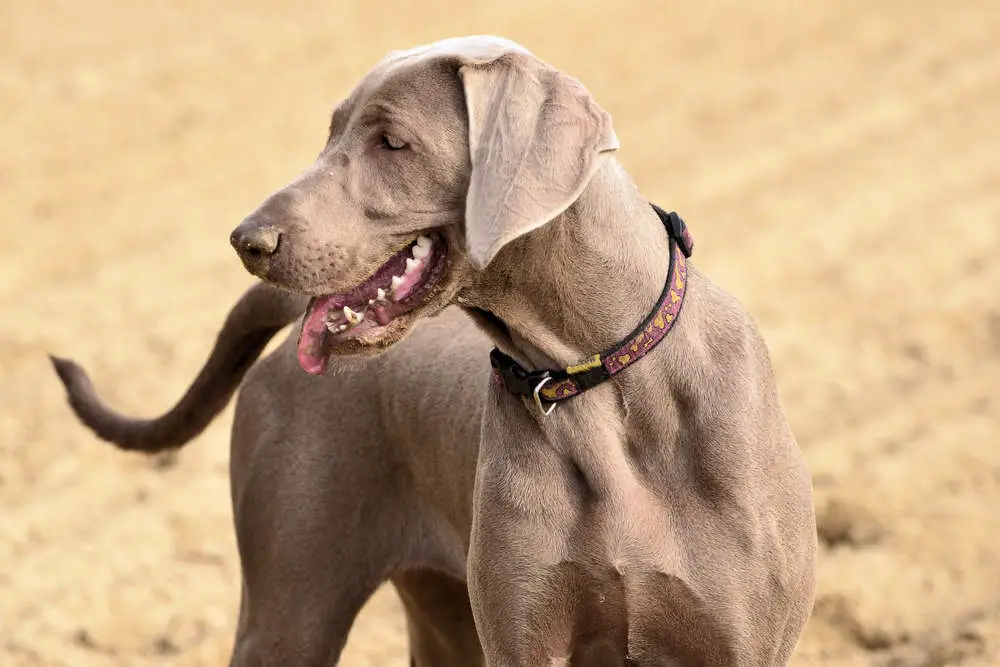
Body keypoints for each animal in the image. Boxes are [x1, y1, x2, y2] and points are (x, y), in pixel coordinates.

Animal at [54, 35, 816, 667]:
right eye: (331, 134)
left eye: (392, 142)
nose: (249, 241)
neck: (602, 376)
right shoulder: (524, 635)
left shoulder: (738, 641)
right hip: (291, 607)